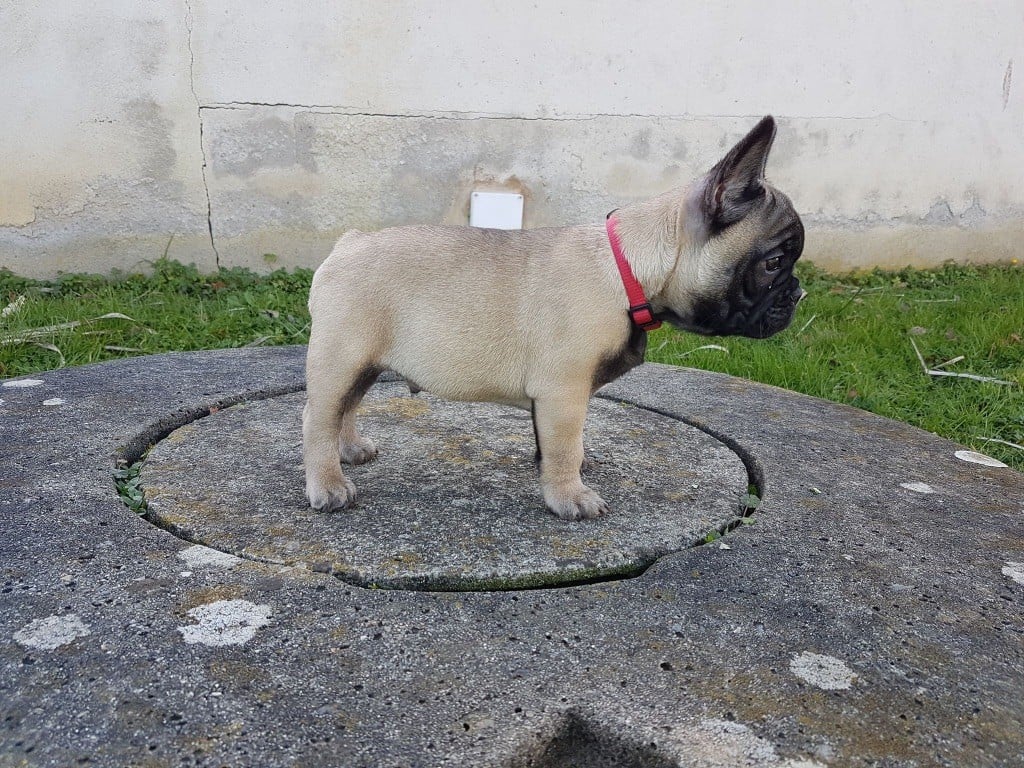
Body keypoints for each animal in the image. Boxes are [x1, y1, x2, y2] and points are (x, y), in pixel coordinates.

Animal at [304, 115, 804, 520]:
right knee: (319, 417)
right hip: (341, 358)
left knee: (346, 406)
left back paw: (350, 450)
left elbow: (554, 445)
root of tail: (348, 242)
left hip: (364, 363)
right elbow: (566, 445)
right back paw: (329, 485)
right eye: (775, 262)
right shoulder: (564, 393)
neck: (627, 271)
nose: (799, 293)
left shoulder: (556, 397)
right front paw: (570, 496)